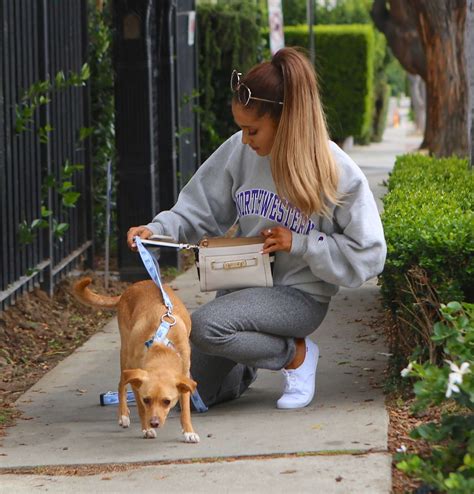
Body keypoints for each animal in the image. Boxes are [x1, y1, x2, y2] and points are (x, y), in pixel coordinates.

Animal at [73, 278, 199, 444]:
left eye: (167, 401)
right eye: (146, 400)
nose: (154, 423)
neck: (161, 348)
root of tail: (133, 286)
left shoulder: (184, 377)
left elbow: (185, 410)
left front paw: (188, 432)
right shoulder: (136, 381)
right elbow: (141, 409)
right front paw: (146, 429)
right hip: (125, 355)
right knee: (121, 384)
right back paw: (123, 415)